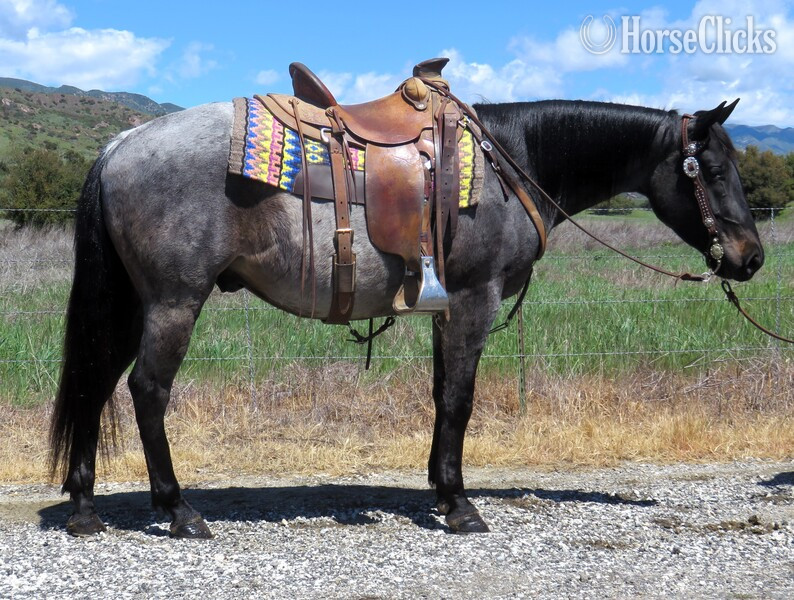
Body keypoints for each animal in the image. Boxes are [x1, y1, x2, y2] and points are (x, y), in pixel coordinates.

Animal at [49, 95, 763, 538]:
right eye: (713, 168)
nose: (751, 257)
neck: (513, 161)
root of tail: (121, 144)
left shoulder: (447, 308)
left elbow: (442, 394)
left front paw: (442, 491)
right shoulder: (475, 298)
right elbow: (460, 399)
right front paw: (462, 505)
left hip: (130, 302)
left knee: (94, 384)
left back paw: (83, 506)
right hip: (174, 301)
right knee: (146, 390)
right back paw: (179, 510)